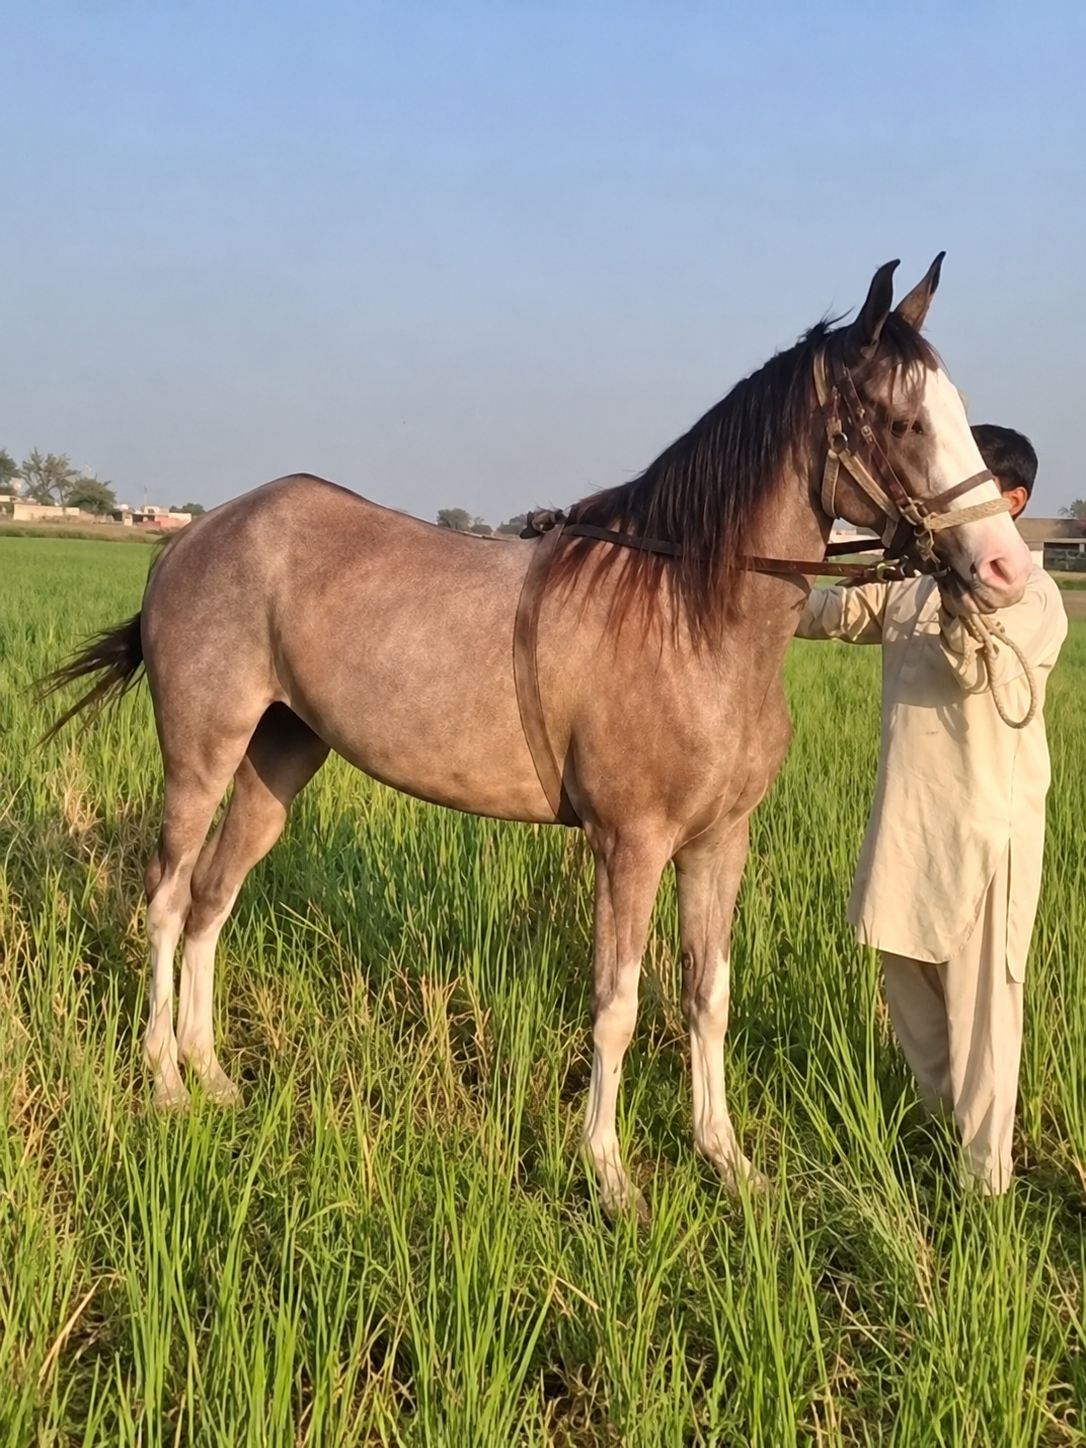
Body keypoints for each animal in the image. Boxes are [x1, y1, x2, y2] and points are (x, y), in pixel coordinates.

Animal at [45, 256, 1031, 1219]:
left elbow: (707, 998)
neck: (689, 616)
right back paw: (165, 1080)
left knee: (213, 900)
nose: (1005, 569)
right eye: (902, 420)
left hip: (276, 761)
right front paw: (611, 1177)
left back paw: (212, 1073)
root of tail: (194, 537)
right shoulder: (630, 846)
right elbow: (618, 1006)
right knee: (168, 898)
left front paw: (727, 1160)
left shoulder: (719, 844)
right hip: (200, 758)